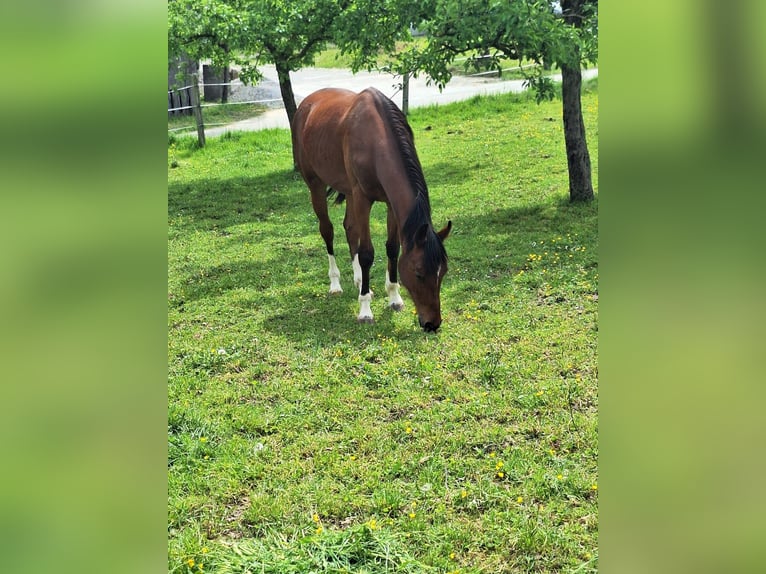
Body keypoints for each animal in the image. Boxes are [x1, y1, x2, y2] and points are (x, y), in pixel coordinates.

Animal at [292, 86, 450, 332]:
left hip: (346, 189)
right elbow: (366, 253)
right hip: (315, 185)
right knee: (327, 230)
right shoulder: (362, 198)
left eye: (443, 271)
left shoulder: (390, 203)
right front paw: (365, 310)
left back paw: (359, 281)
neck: (376, 140)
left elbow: (392, 248)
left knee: (350, 228)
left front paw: (394, 297)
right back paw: (336, 284)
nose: (432, 324)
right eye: (418, 273)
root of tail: (306, 105)